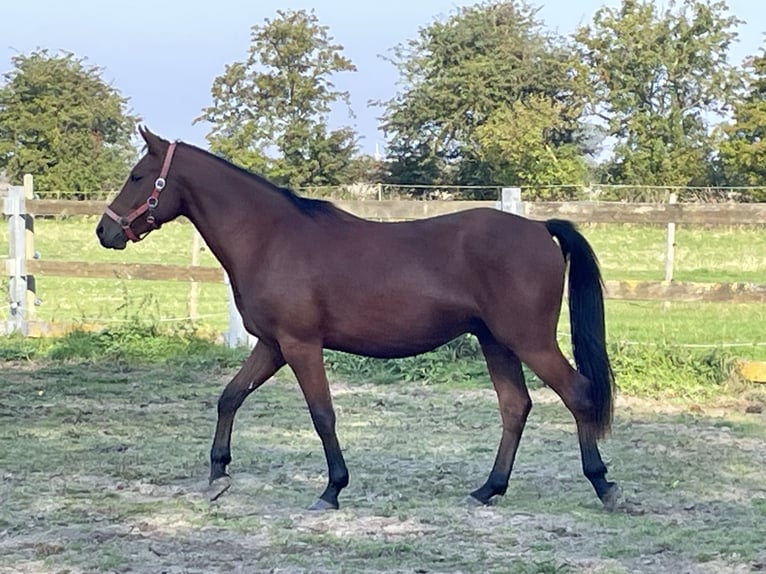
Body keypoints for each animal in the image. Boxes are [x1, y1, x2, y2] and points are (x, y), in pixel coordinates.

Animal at [96, 127, 620, 512]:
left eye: (138, 176)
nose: (105, 231)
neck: (270, 238)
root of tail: (539, 227)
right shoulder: (271, 346)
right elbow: (230, 398)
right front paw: (218, 474)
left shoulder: (300, 345)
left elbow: (322, 415)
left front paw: (332, 490)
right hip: (496, 342)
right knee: (515, 408)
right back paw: (488, 489)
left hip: (529, 342)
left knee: (577, 394)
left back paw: (603, 484)